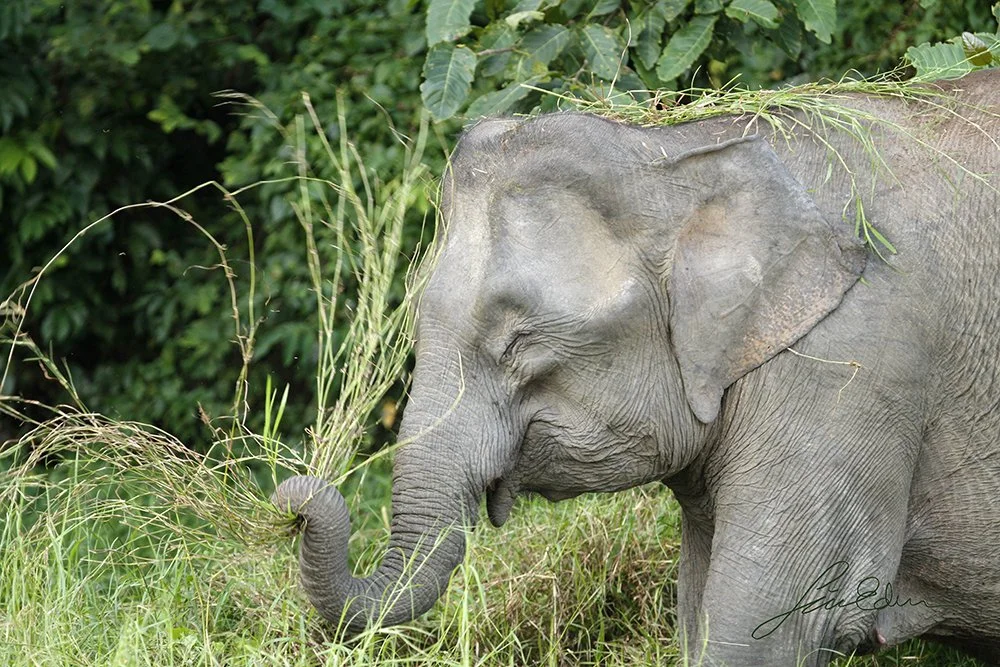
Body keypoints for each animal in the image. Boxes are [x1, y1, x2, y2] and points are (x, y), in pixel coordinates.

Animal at [274, 70, 1000, 666]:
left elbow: (766, 626)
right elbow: (700, 614)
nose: (294, 505)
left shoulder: (852, 368)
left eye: (519, 342)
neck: (681, 150)